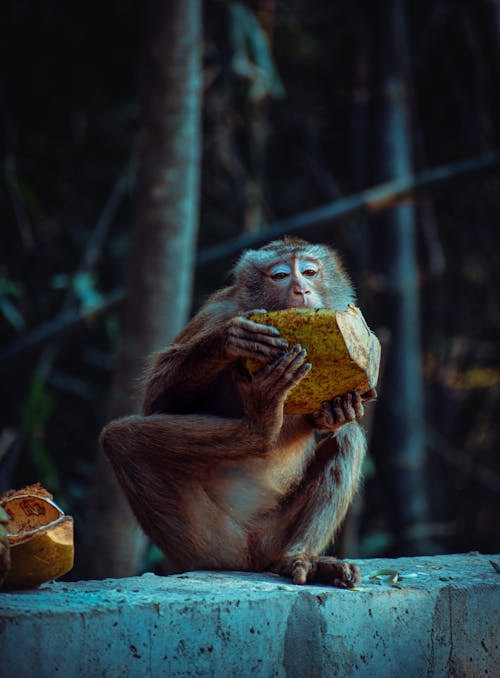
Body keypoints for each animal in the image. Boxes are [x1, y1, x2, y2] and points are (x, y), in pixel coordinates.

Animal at [101, 238, 376, 588]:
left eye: (310, 272)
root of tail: (253, 559)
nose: (301, 289)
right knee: (122, 439)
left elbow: (336, 421)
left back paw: (299, 557)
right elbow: (156, 402)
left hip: (273, 538)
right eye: (281, 275)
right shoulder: (218, 311)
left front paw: (338, 411)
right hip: (215, 540)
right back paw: (258, 429)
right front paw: (229, 338)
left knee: (348, 439)